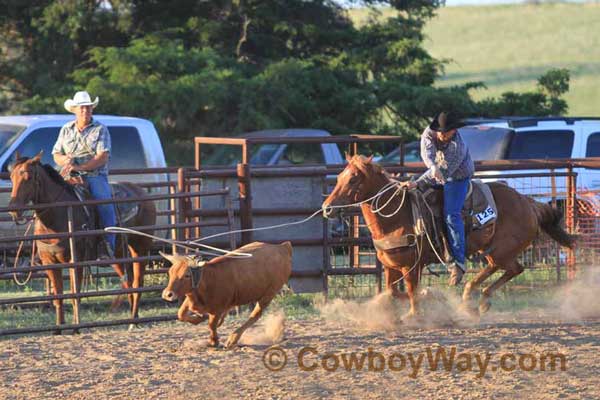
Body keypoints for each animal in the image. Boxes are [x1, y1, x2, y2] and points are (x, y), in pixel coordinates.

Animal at [7, 152, 157, 332]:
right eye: (11, 177)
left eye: (28, 177)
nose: (13, 210)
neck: (58, 215)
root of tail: (143, 193)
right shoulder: (49, 262)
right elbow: (58, 296)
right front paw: (58, 328)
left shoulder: (75, 260)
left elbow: (74, 294)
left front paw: (76, 327)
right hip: (118, 254)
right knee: (128, 282)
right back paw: (130, 319)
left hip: (140, 248)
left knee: (138, 282)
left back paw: (134, 321)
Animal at [159, 241, 290, 346]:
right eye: (170, 272)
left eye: (187, 275)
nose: (167, 294)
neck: (209, 279)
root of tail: (282, 248)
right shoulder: (190, 296)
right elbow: (181, 314)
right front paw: (199, 319)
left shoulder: (216, 309)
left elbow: (211, 324)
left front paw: (214, 341)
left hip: (269, 294)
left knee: (255, 315)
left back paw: (233, 338)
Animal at [324, 155, 576, 318]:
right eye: (339, 177)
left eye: (353, 179)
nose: (327, 208)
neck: (396, 216)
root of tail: (529, 203)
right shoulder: (390, 266)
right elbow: (394, 292)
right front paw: (431, 297)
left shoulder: (412, 266)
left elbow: (412, 292)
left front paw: (416, 313)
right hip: (495, 251)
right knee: (509, 269)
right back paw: (476, 299)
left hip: (501, 250)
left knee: (510, 268)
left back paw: (474, 297)